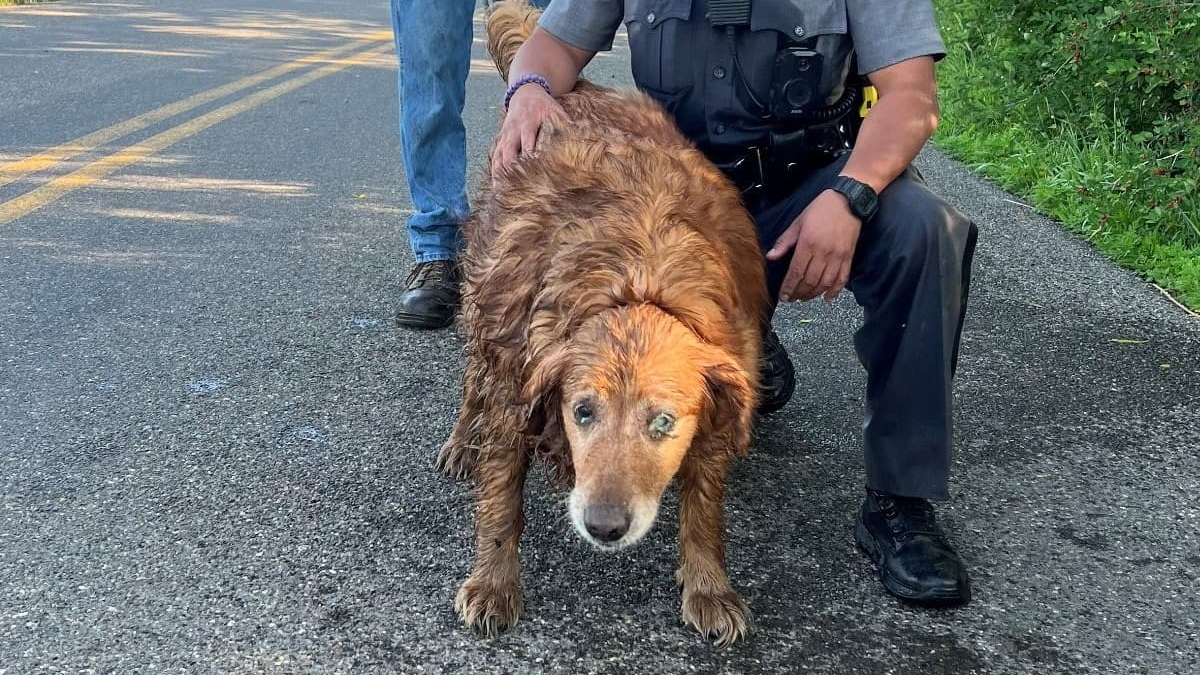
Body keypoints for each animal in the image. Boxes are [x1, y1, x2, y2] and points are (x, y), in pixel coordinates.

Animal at [439, 0, 768, 643]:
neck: (638, 278)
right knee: (473, 378)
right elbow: (502, 498)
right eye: (582, 411)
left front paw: (709, 586)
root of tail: (577, 88)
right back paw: (462, 442)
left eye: (663, 422)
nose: (604, 525)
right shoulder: (518, 381)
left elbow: (704, 505)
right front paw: (493, 582)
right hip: (484, 302)